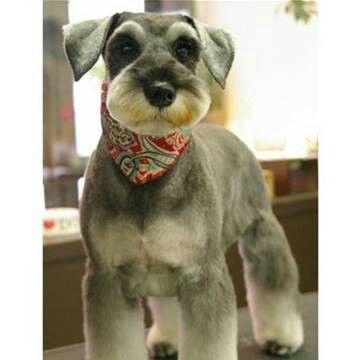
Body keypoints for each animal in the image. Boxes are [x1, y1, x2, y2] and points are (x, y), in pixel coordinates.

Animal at [62, 11, 304, 360]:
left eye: (185, 48)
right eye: (125, 46)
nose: (161, 90)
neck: (147, 166)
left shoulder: (203, 274)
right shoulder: (107, 276)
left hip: (263, 233)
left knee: (274, 282)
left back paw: (281, 336)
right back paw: (167, 340)